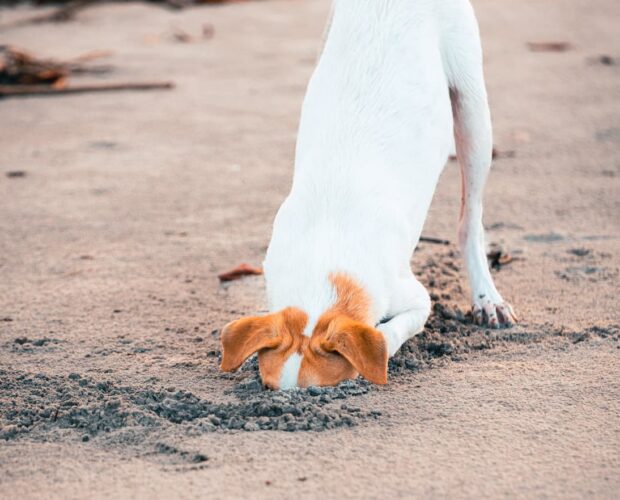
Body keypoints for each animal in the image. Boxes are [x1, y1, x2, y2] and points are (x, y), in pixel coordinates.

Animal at [220, 0, 516, 388]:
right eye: (268, 388)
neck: (323, 255)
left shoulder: (415, 297)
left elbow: (387, 334)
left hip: (473, 114)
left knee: (470, 218)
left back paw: (486, 297)